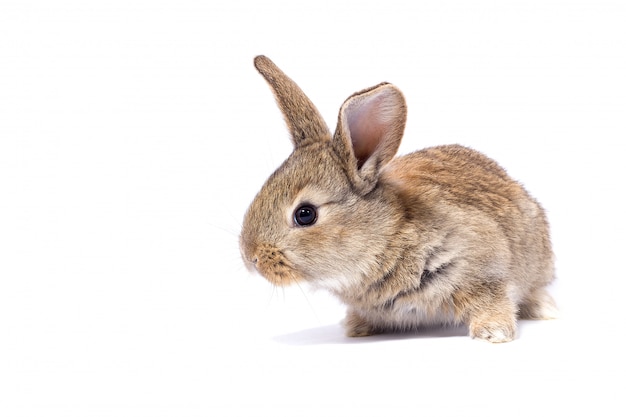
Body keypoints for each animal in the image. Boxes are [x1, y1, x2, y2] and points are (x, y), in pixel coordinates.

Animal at [239, 55, 556, 342]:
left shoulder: (484, 267)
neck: (386, 236)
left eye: (305, 214)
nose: (250, 257)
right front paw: (356, 328)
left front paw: (494, 332)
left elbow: (492, 297)